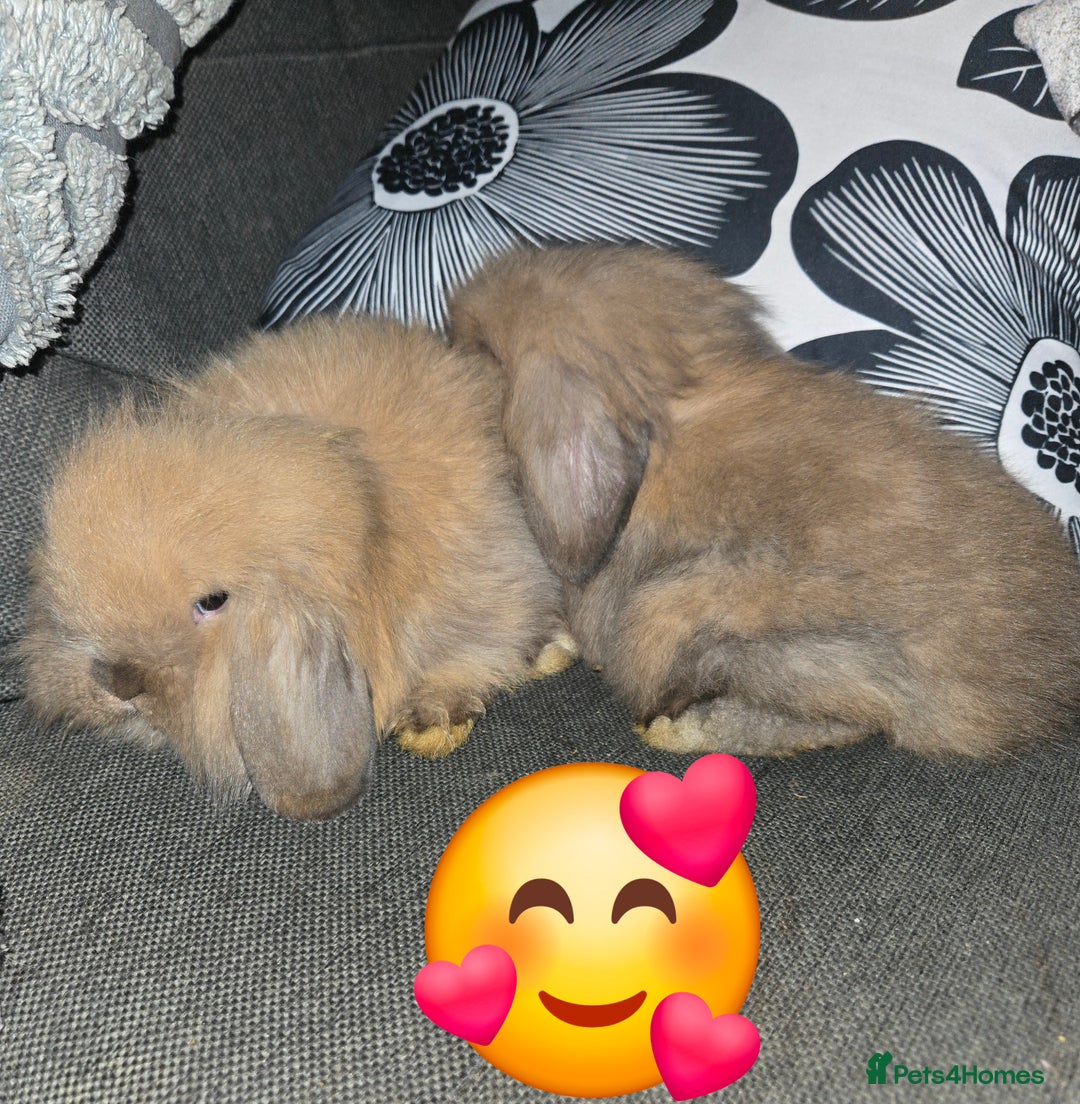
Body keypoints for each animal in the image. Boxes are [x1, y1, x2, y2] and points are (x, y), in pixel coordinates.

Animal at [448, 242, 1080, 759]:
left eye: (477, 345)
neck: (673, 403)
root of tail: (1034, 691)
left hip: (676, 610)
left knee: (851, 716)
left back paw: (681, 729)